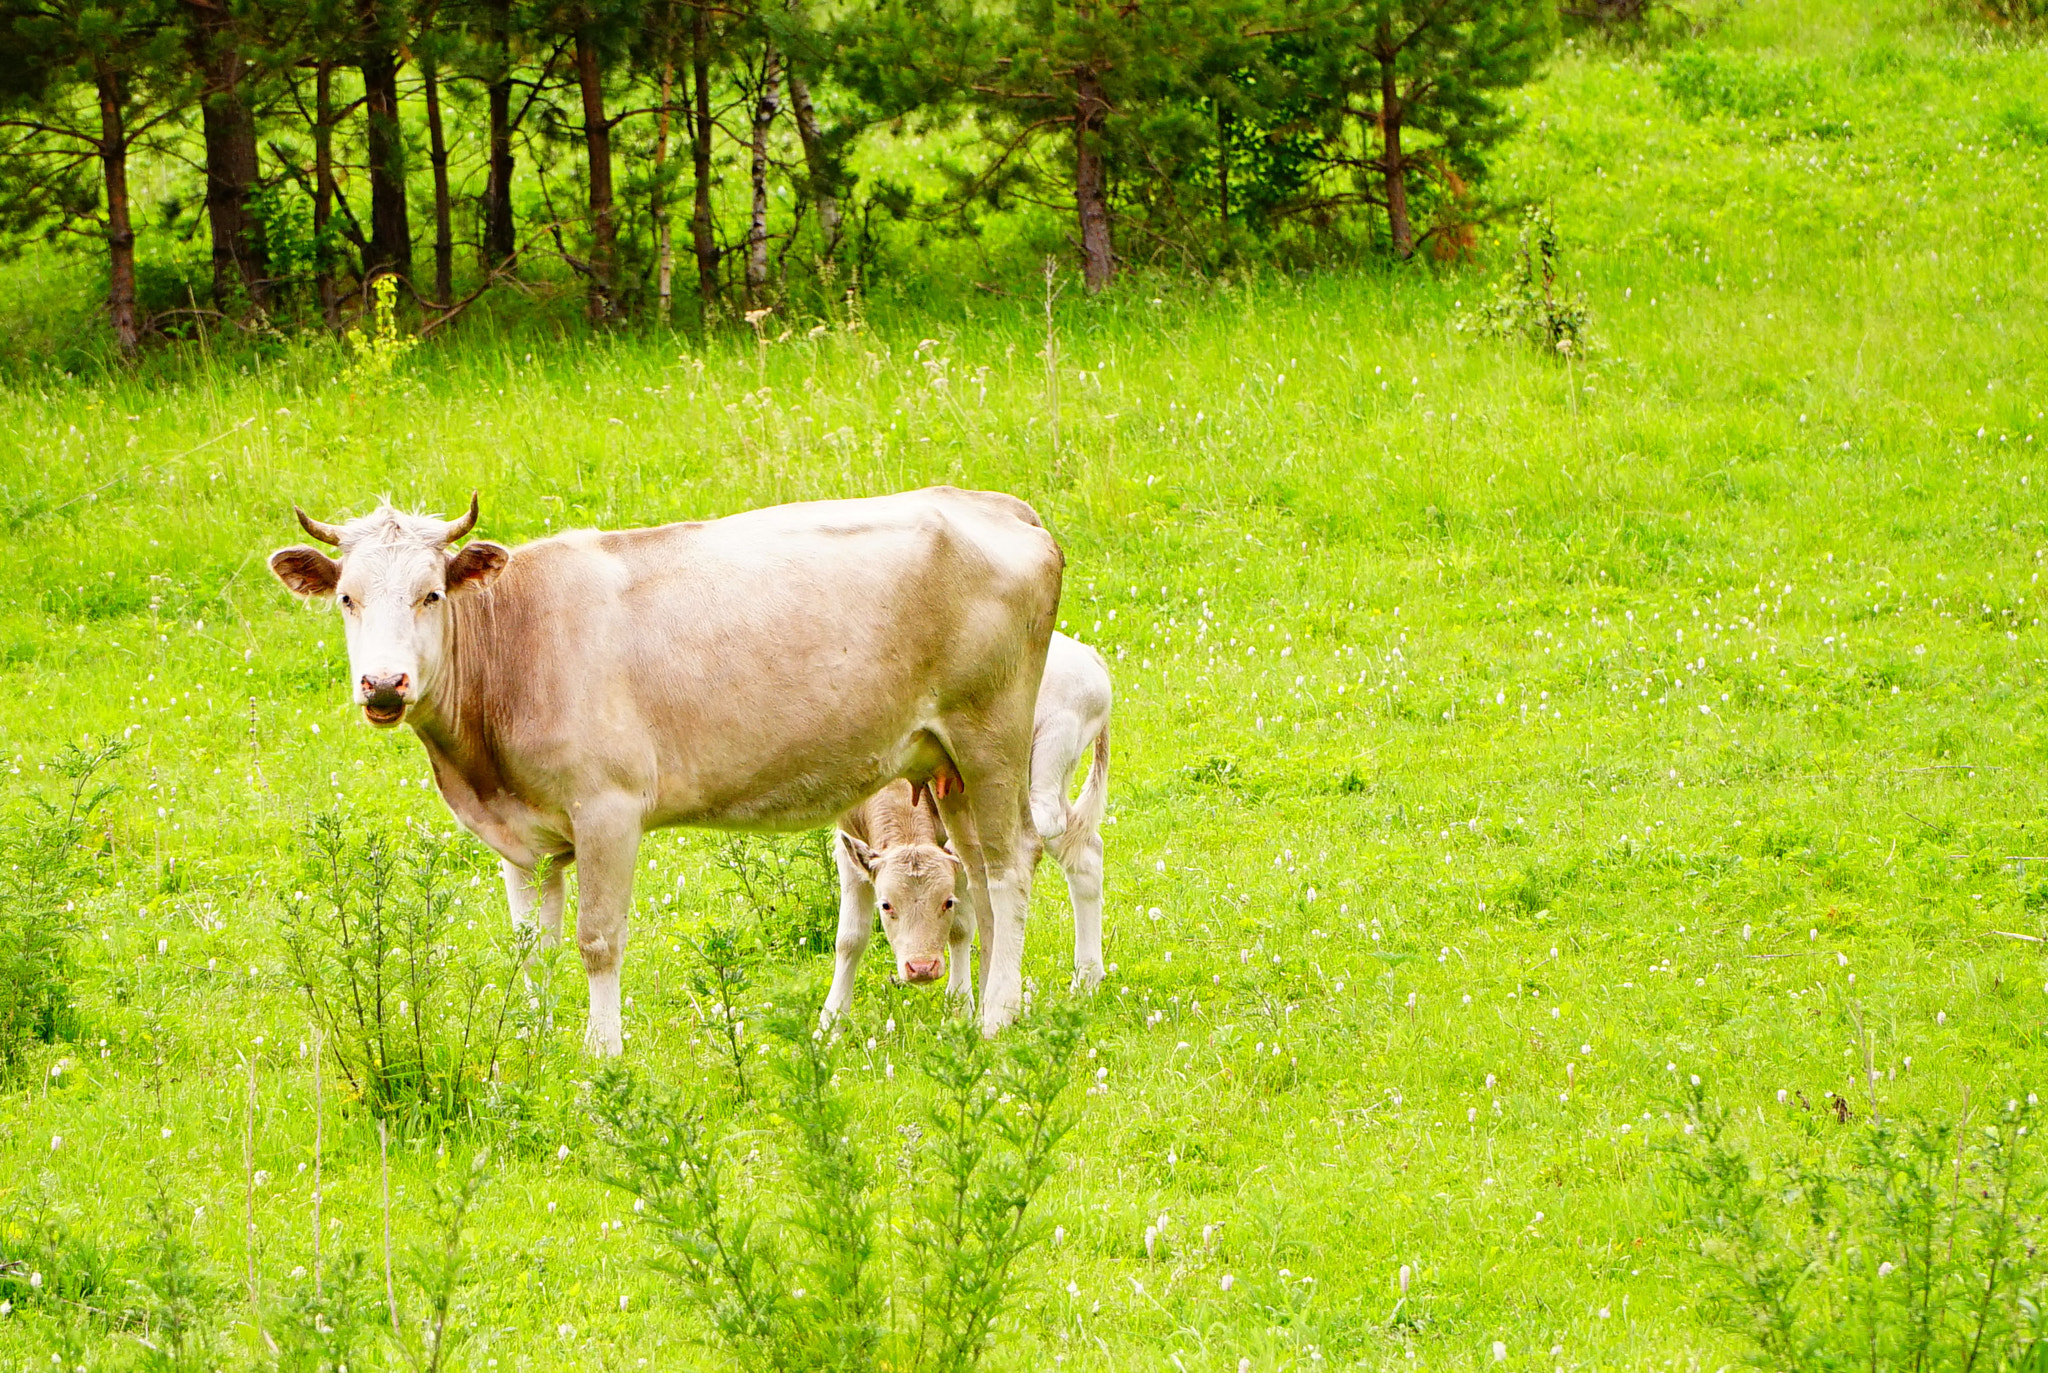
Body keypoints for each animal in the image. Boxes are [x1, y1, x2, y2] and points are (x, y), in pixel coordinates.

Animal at [270, 487, 1064, 1057]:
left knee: (1012, 866)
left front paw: (602, 1053)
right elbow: (533, 950)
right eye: (347, 597)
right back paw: (980, 1007)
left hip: (992, 737)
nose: (383, 683)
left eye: (431, 593)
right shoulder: (522, 837)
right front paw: (531, 1042)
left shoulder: (608, 810)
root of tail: (996, 503)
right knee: (978, 880)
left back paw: (996, 1016)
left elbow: (597, 940)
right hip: (947, 762)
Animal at [819, 631, 1114, 1020]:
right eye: (886, 905)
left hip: (1055, 740)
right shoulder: (849, 846)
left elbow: (961, 926)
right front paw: (830, 1022)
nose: (921, 968)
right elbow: (850, 938)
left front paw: (960, 1005)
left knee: (1045, 820)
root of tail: (1088, 655)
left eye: (945, 901)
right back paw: (1086, 979)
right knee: (1082, 851)